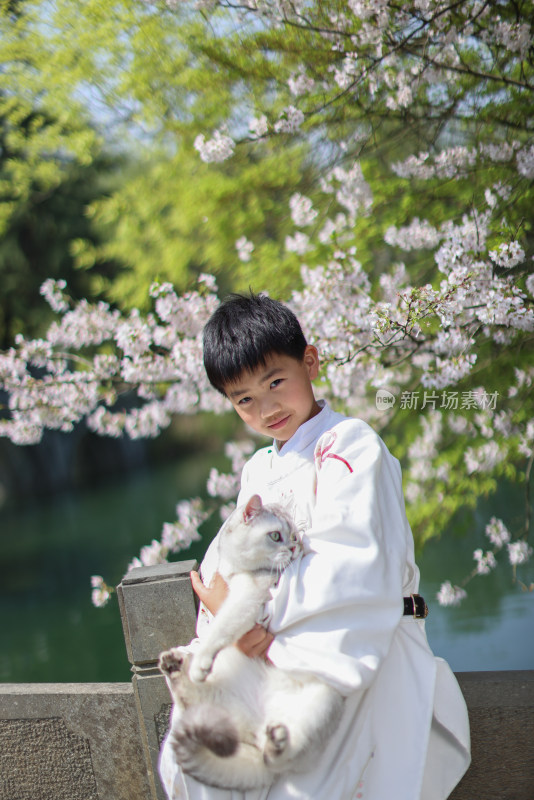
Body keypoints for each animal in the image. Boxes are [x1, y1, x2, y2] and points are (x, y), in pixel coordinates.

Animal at [159, 496, 346, 792]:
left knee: (277, 759)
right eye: (276, 535)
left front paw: (201, 660)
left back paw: (277, 742)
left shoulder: (246, 599)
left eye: (294, 536)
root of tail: (256, 727)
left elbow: (220, 629)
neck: (236, 569)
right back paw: (175, 666)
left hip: (320, 704)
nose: (294, 547)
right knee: (190, 697)